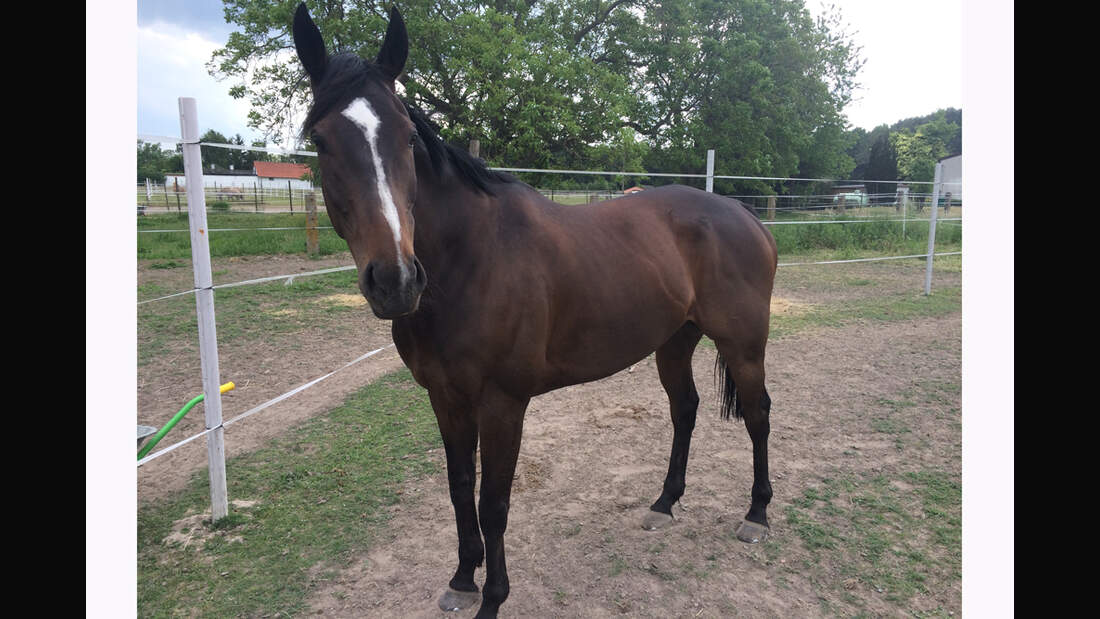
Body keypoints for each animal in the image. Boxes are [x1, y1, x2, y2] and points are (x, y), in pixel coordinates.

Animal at [288, 3, 778, 615]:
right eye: (321, 140)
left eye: (407, 135)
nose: (395, 280)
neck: (471, 258)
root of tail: (746, 215)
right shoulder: (444, 398)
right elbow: (459, 488)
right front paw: (461, 579)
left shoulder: (503, 403)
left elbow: (494, 502)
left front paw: (492, 598)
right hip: (675, 341)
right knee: (684, 409)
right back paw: (664, 504)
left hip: (743, 346)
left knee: (758, 414)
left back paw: (756, 514)